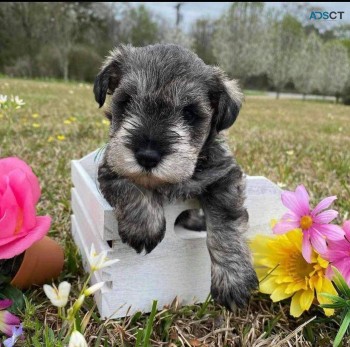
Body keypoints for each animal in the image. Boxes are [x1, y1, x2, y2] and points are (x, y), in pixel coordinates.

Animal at [94, 42, 258, 310]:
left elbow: (225, 223)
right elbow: (130, 186)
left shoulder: (223, 177)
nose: (147, 156)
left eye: (190, 113)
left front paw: (233, 279)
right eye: (126, 101)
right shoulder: (111, 166)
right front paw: (144, 226)